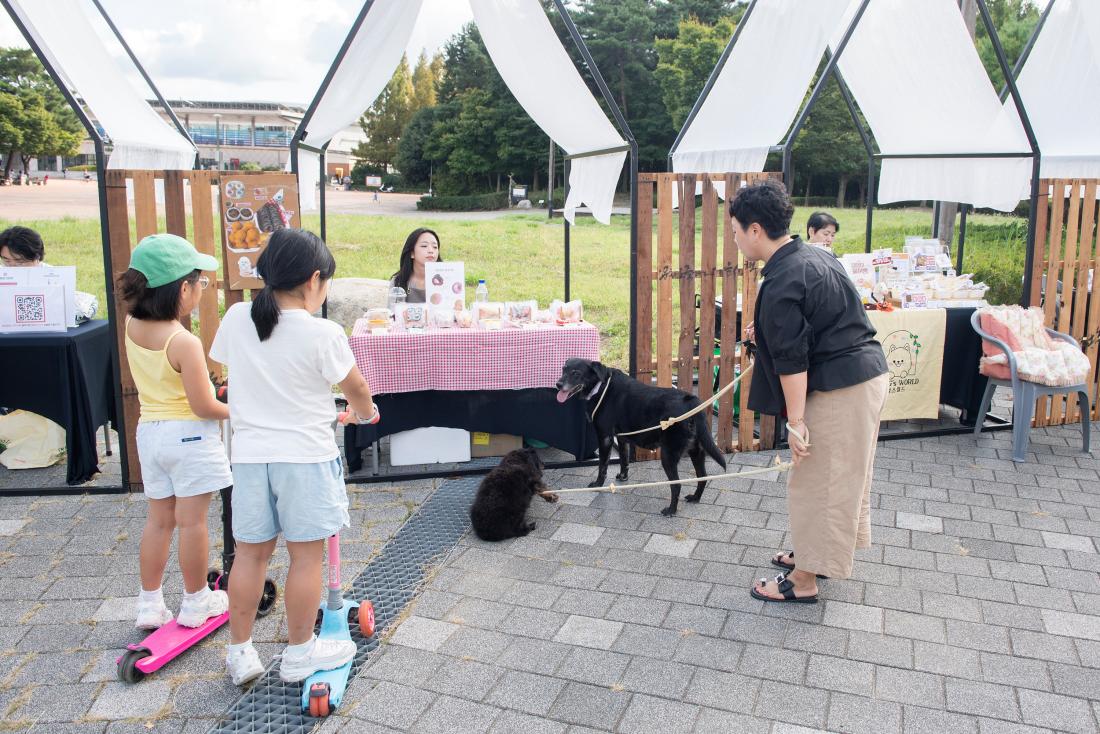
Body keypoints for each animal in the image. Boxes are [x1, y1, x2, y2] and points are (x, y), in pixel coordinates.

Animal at [554, 356, 726, 517]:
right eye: (563, 369)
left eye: (576, 373)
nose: (558, 384)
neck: (600, 386)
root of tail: (692, 402)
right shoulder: (621, 438)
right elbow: (624, 460)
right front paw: (623, 477)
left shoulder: (605, 437)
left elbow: (603, 465)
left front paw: (598, 484)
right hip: (696, 451)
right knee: (702, 476)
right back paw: (695, 498)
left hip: (668, 455)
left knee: (677, 485)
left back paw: (671, 510)